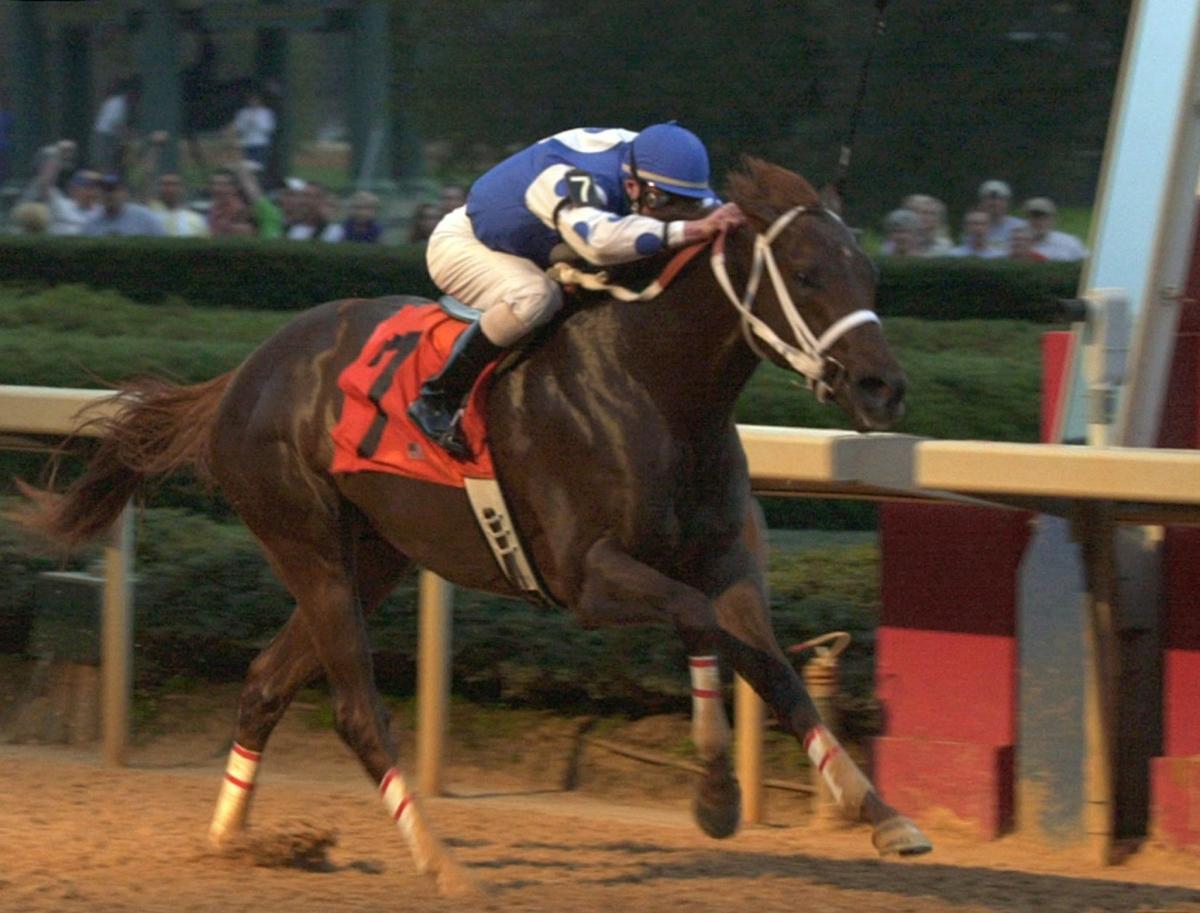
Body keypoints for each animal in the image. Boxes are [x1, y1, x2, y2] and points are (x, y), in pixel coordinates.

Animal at [15, 158, 926, 896]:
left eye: (869, 269)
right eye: (807, 272)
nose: (882, 387)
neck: (652, 386)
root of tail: (242, 376)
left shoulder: (728, 563)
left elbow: (769, 666)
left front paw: (881, 814)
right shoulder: (587, 576)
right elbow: (702, 624)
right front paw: (714, 793)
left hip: (373, 558)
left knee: (267, 681)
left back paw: (232, 838)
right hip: (307, 546)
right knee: (356, 711)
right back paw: (440, 861)